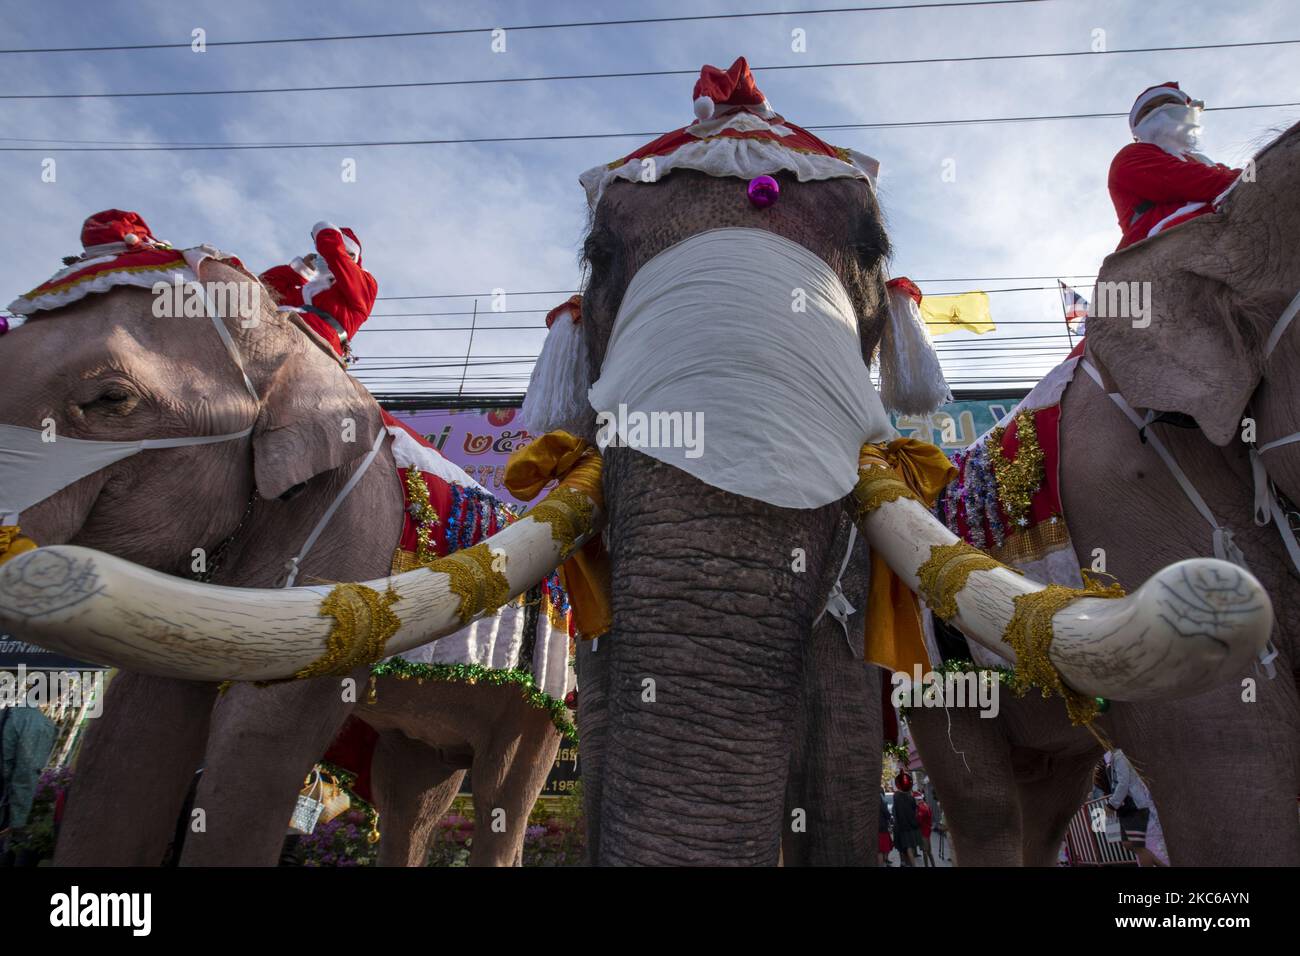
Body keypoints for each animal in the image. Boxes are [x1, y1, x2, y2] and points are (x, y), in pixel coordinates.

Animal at [1, 260, 569, 868]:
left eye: (111, 399)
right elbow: (137, 725)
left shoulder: (353, 532)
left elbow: (261, 729)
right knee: (413, 798)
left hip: (537, 701)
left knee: (501, 792)